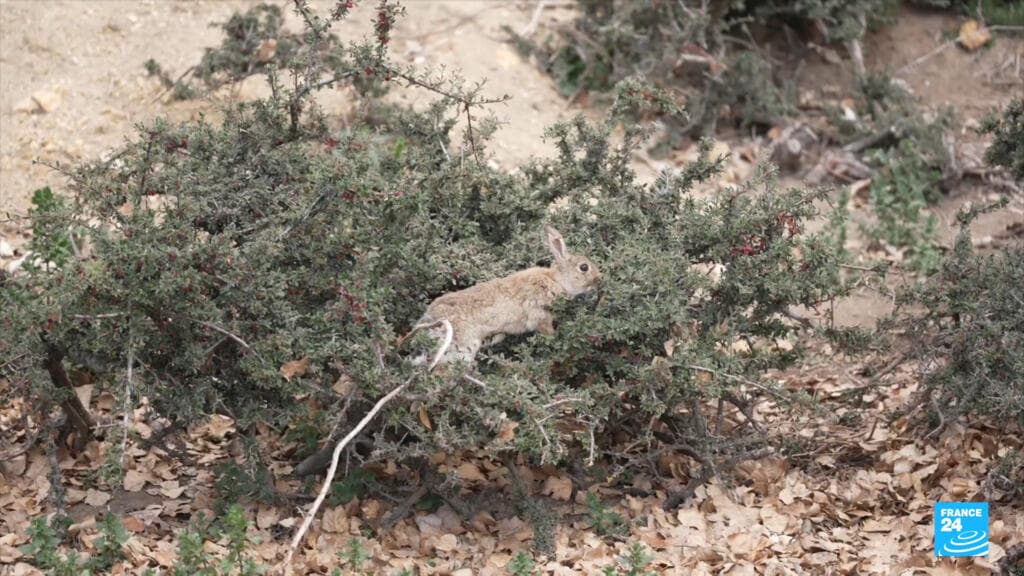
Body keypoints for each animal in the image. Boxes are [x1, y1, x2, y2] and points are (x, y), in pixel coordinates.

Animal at [401, 225, 601, 365]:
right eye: (584, 267)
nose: (599, 279)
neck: (556, 280)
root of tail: (427, 326)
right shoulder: (540, 315)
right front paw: (556, 338)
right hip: (462, 346)